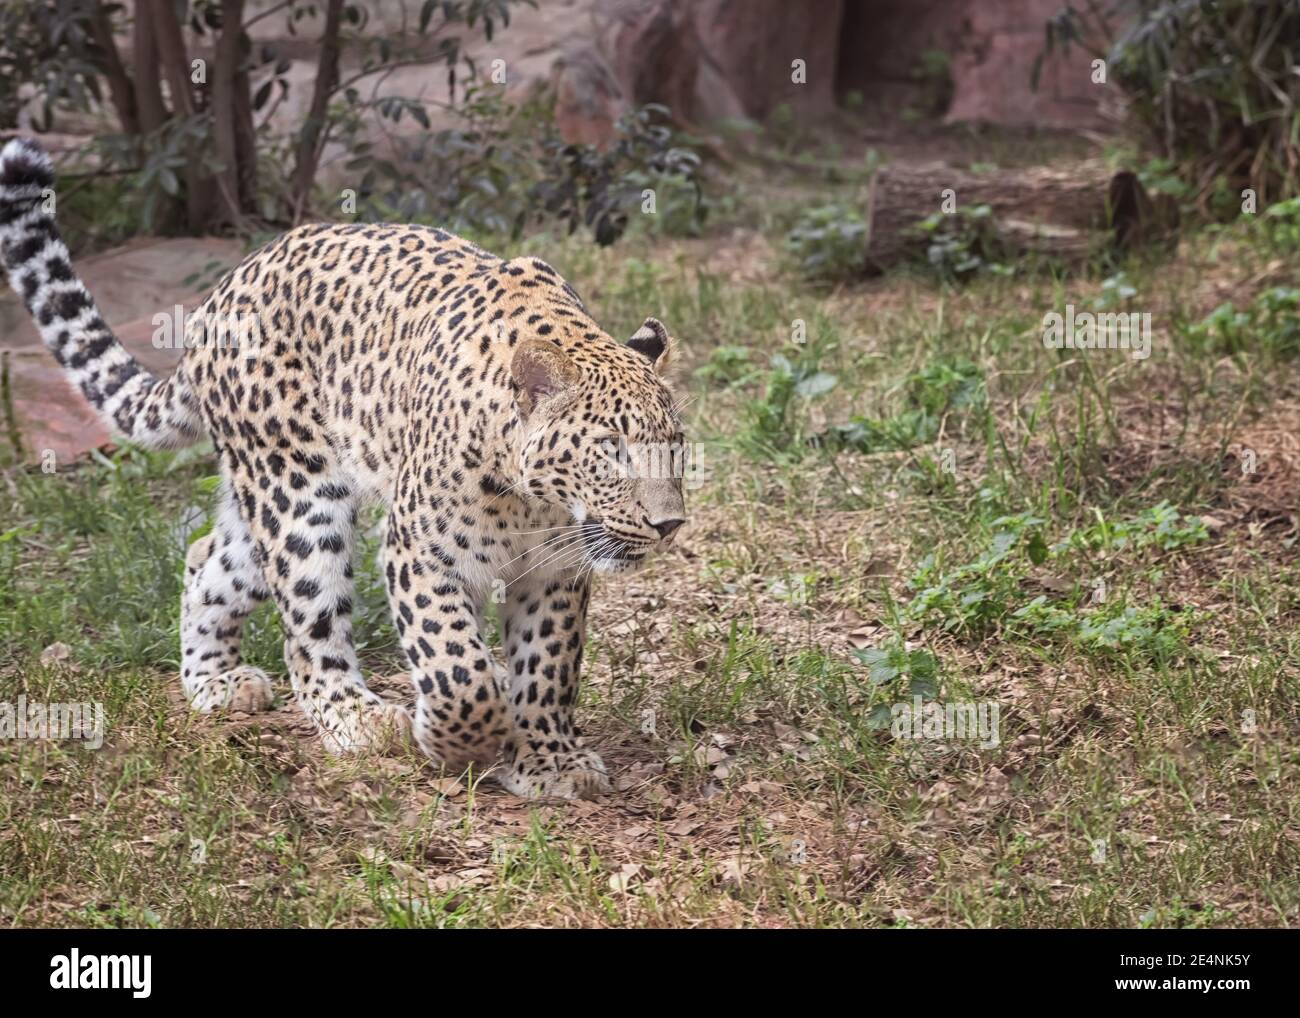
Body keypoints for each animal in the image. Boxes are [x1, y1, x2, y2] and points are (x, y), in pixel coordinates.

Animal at [0, 139, 686, 800]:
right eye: (613, 449)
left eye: (675, 445)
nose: (670, 525)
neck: (531, 503)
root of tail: (218, 297)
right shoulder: (419, 551)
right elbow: (454, 665)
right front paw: (457, 742)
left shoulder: (555, 571)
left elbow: (547, 668)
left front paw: (548, 762)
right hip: (298, 492)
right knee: (307, 628)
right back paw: (357, 716)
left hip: (259, 500)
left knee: (204, 560)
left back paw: (216, 682)